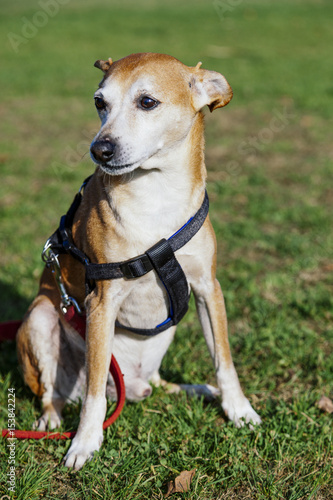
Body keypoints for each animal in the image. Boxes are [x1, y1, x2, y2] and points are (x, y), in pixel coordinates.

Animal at [16, 52, 260, 470]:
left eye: (147, 102)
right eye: (100, 102)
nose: (100, 149)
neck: (156, 192)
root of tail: (133, 385)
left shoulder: (208, 289)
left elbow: (224, 359)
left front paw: (239, 409)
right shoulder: (101, 302)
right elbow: (95, 389)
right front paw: (84, 443)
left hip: (166, 336)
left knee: (161, 382)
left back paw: (197, 388)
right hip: (41, 317)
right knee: (56, 393)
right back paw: (51, 418)